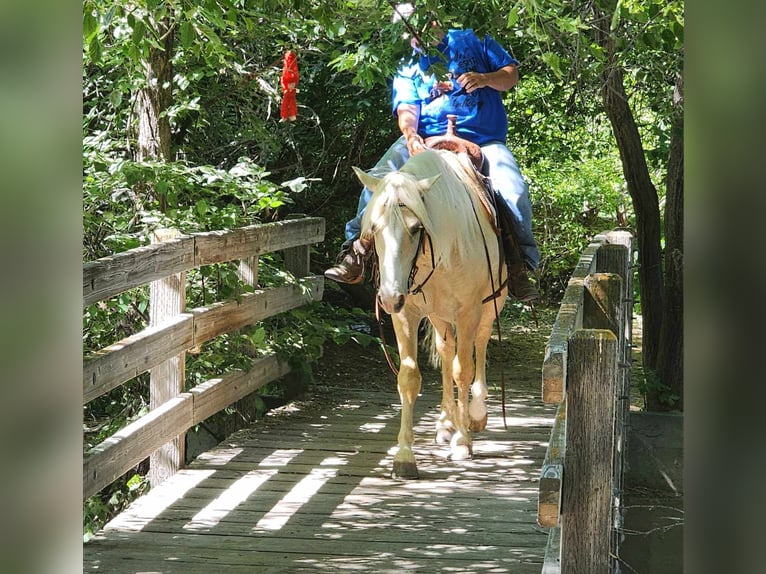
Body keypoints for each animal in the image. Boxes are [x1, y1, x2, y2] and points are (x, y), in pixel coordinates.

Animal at [354, 148, 510, 482]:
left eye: (415, 228)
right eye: (373, 228)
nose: (388, 297)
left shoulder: (468, 311)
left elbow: (463, 370)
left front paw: (463, 442)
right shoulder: (406, 314)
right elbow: (410, 377)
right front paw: (404, 456)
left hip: (490, 306)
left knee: (479, 345)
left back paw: (476, 415)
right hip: (439, 316)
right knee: (446, 351)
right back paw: (445, 423)